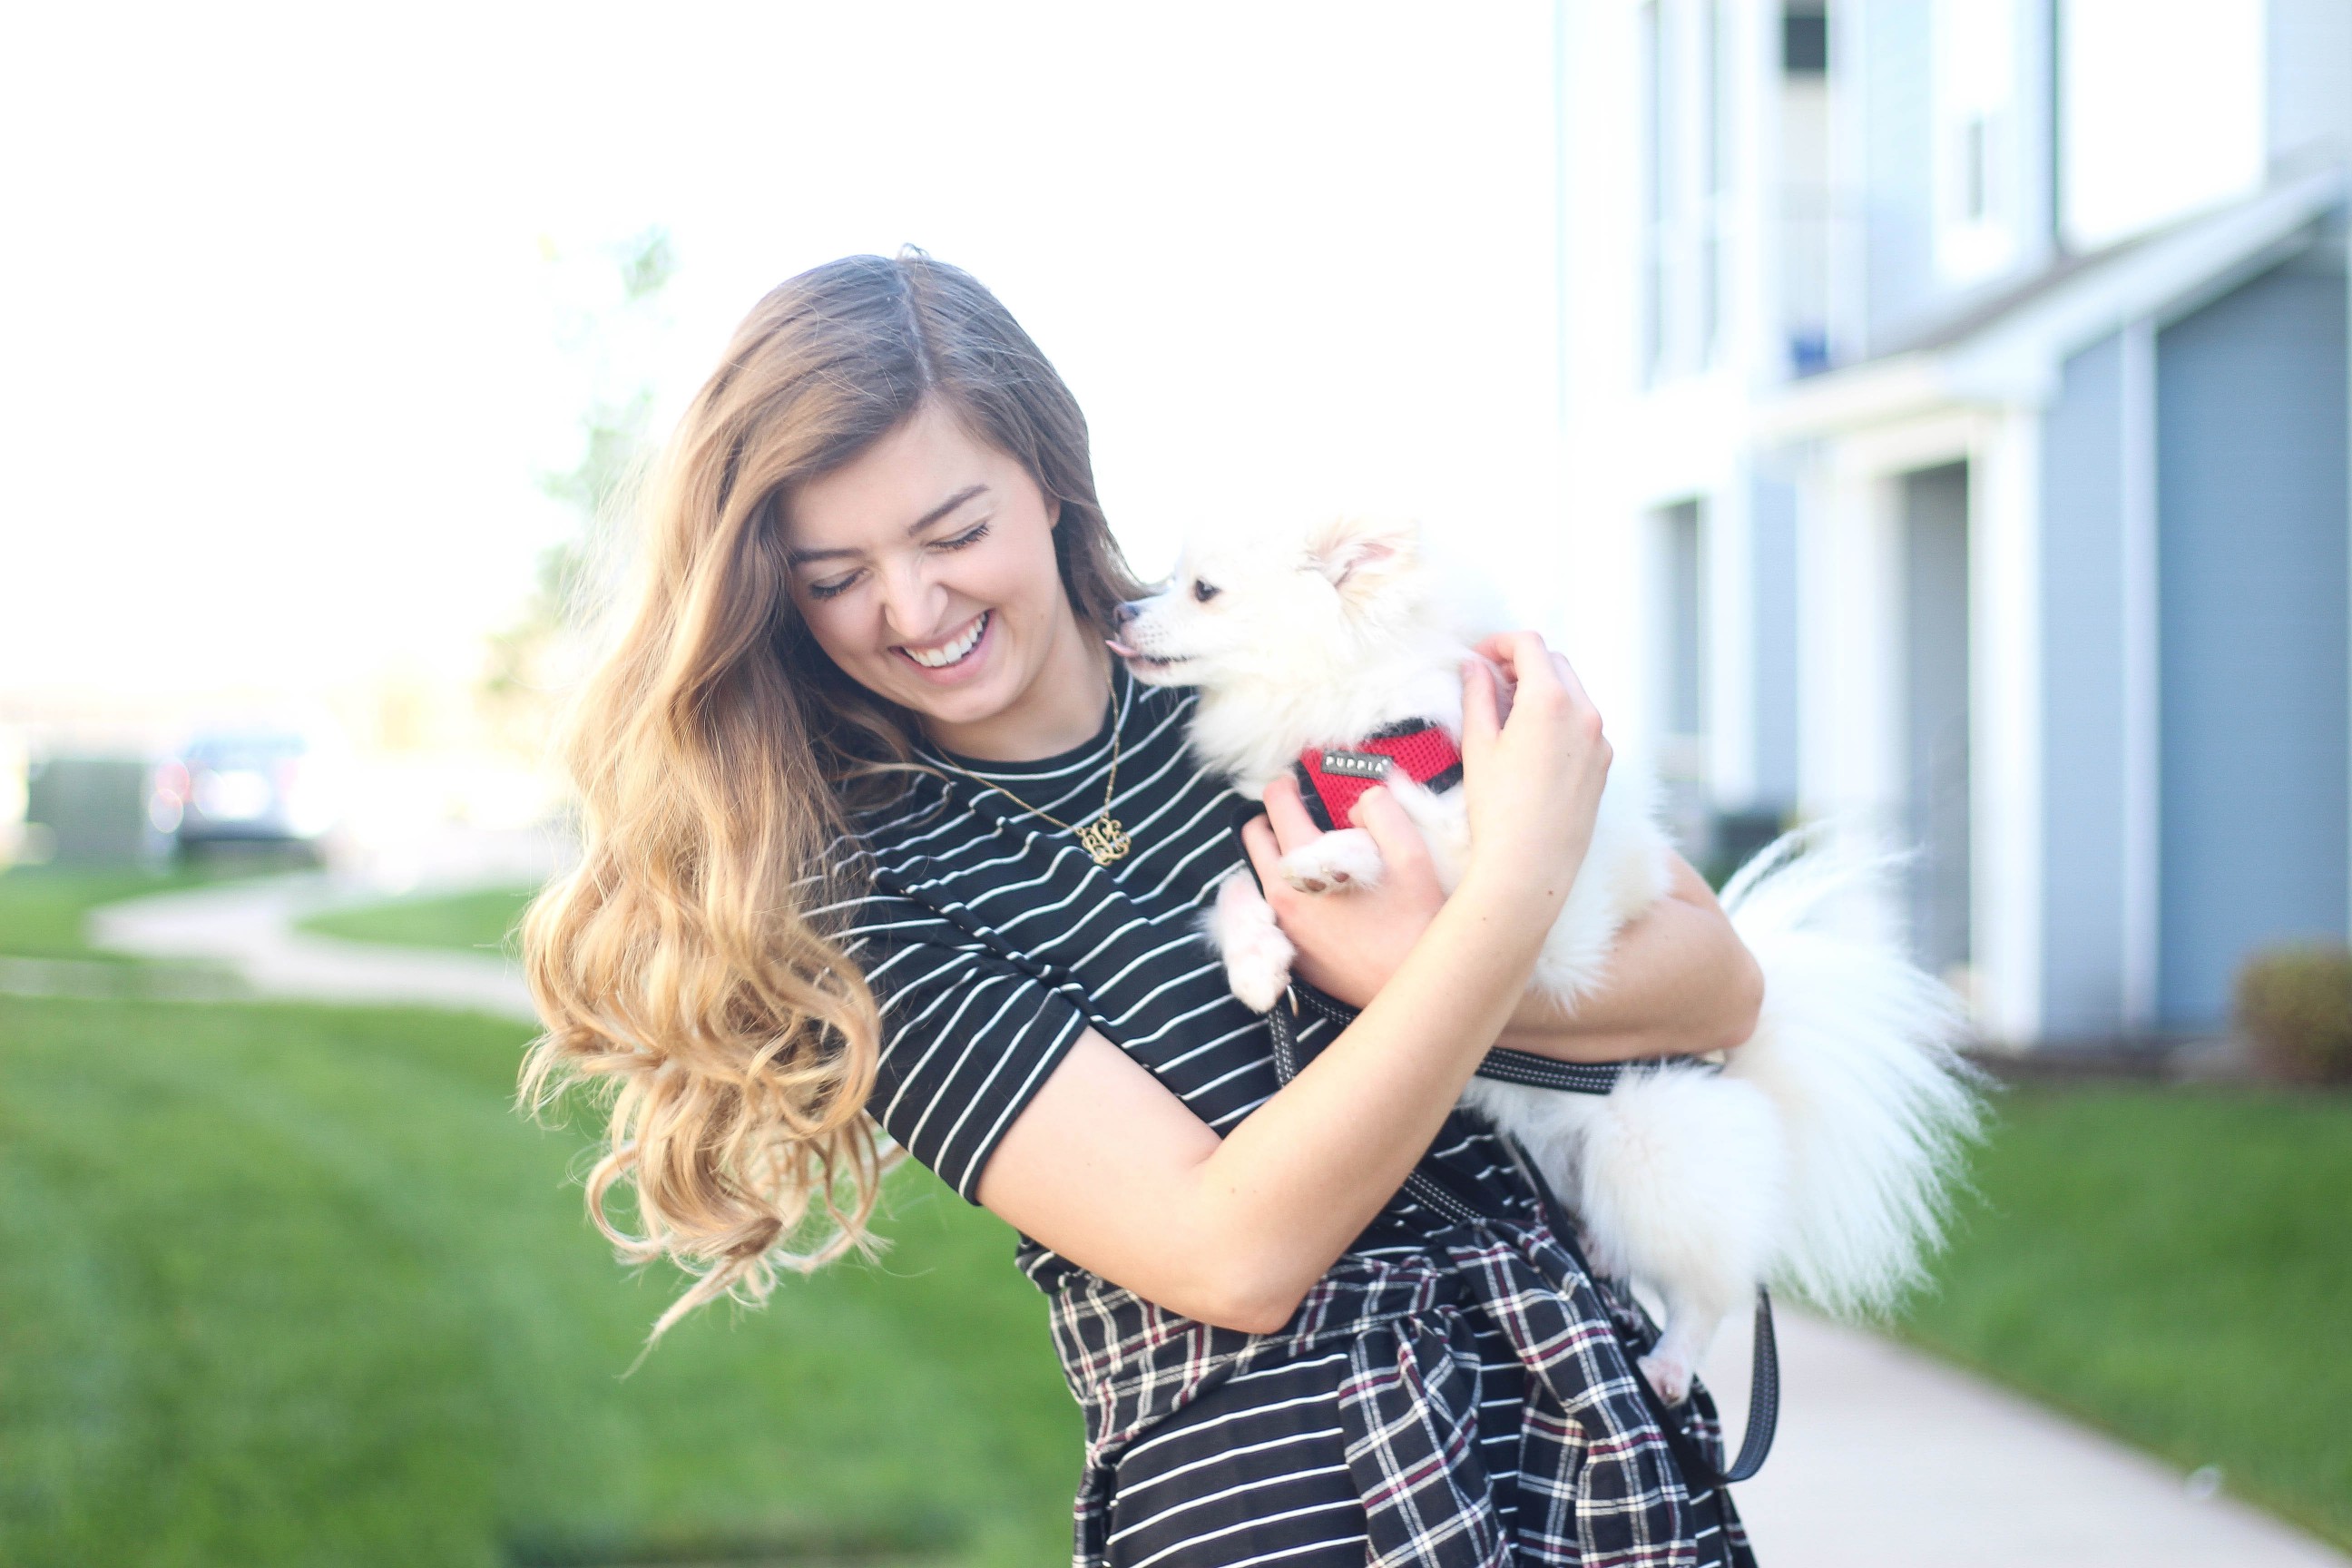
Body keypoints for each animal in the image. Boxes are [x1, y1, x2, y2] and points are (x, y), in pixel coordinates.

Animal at [1119, 516, 1984, 1410]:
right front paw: (1258, 959)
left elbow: (1398, 834)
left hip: (1646, 1147)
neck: (1352, 727)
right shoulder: (1267, 830)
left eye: (1203, 591)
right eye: (1168, 580)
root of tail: (1741, 1073)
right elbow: (1238, 884)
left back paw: (1671, 1361)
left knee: (1713, 1291)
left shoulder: (1521, 885)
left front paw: (1335, 860)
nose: (1121, 610)